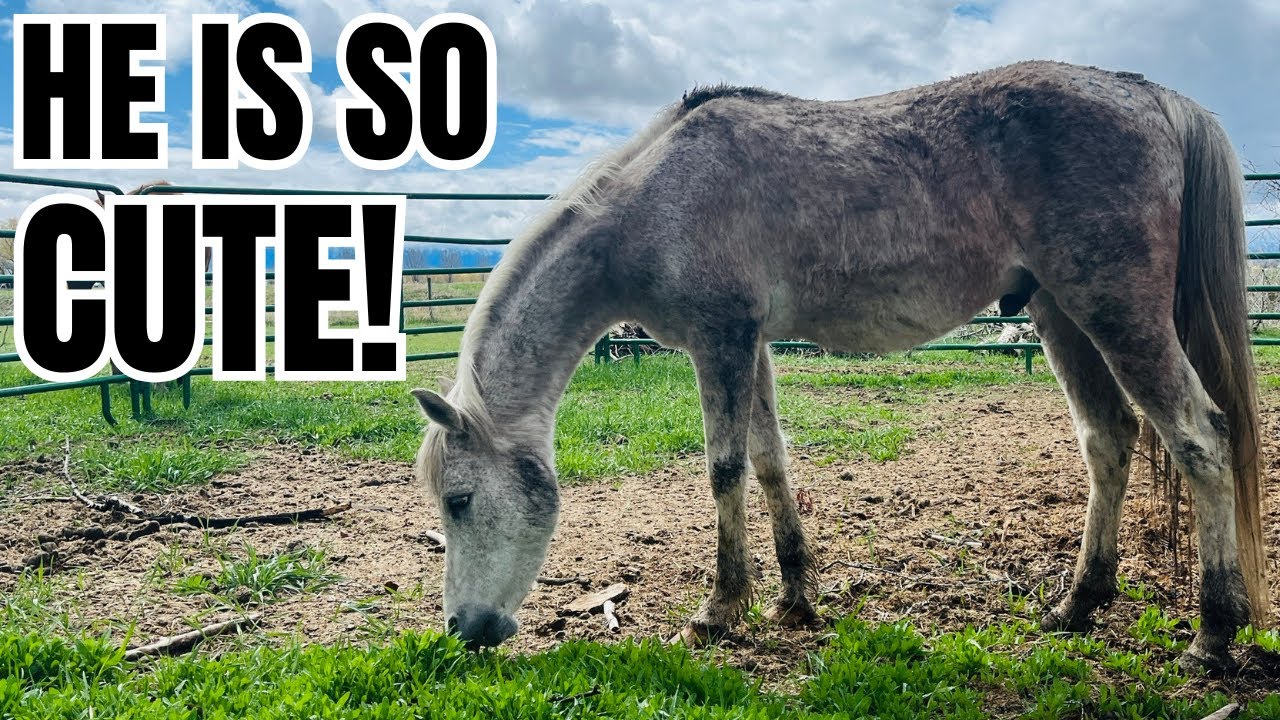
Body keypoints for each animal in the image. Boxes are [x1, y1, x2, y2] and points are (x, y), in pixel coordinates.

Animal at [410, 60, 1270, 671]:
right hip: (1060, 313)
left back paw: (1212, 635)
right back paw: (1076, 604)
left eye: (458, 500)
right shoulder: (750, 345)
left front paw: (719, 611)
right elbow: (769, 463)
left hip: (1118, 314)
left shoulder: (721, 340)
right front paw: (795, 597)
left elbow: (723, 469)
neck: (656, 196)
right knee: (1109, 440)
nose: (465, 630)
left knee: (1201, 438)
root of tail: (1150, 95)